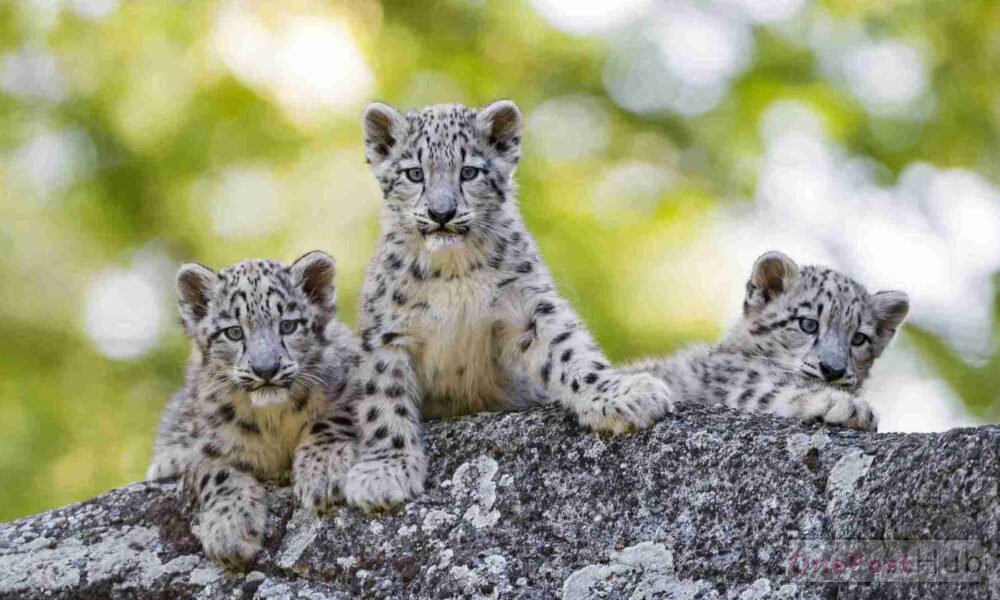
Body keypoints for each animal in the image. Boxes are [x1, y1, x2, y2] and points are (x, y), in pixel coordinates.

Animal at [146, 251, 360, 569]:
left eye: (288, 325)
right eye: (234, 332)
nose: (266, 369)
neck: (274, 420)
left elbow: (333, 416)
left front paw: (323, 471)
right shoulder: (197, 445)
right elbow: (214, 471)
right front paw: (229, 531)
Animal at [342, 100, 673, 511]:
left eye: (469, 171)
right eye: (414, 173)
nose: (441, 213)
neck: (452, 271)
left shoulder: (528, 304)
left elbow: (570, 350)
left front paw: (621, 395)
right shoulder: (388, 332)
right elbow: (384, 399)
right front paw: (384, 473)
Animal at [626, 251, 909, 431]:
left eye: (859, 338)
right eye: (808, 324)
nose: (833, 370)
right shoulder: (739, 379)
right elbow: (775, 388)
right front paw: (850, 406)